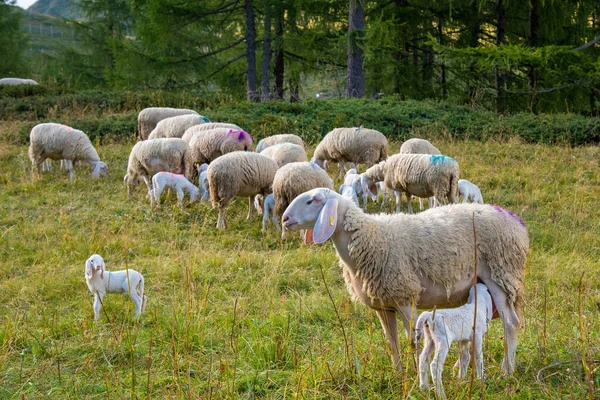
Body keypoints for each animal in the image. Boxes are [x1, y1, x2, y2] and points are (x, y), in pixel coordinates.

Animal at [284, 188, 528, 376]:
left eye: (313, 200)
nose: (285, 219)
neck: (371, 238)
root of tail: (515, 220)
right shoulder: (383, 305)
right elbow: (391, 341)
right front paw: (398, 373)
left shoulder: (405, 295)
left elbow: (413, 340)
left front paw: (415, 374)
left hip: (501, 275)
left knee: (511, 323)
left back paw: (507, 370)